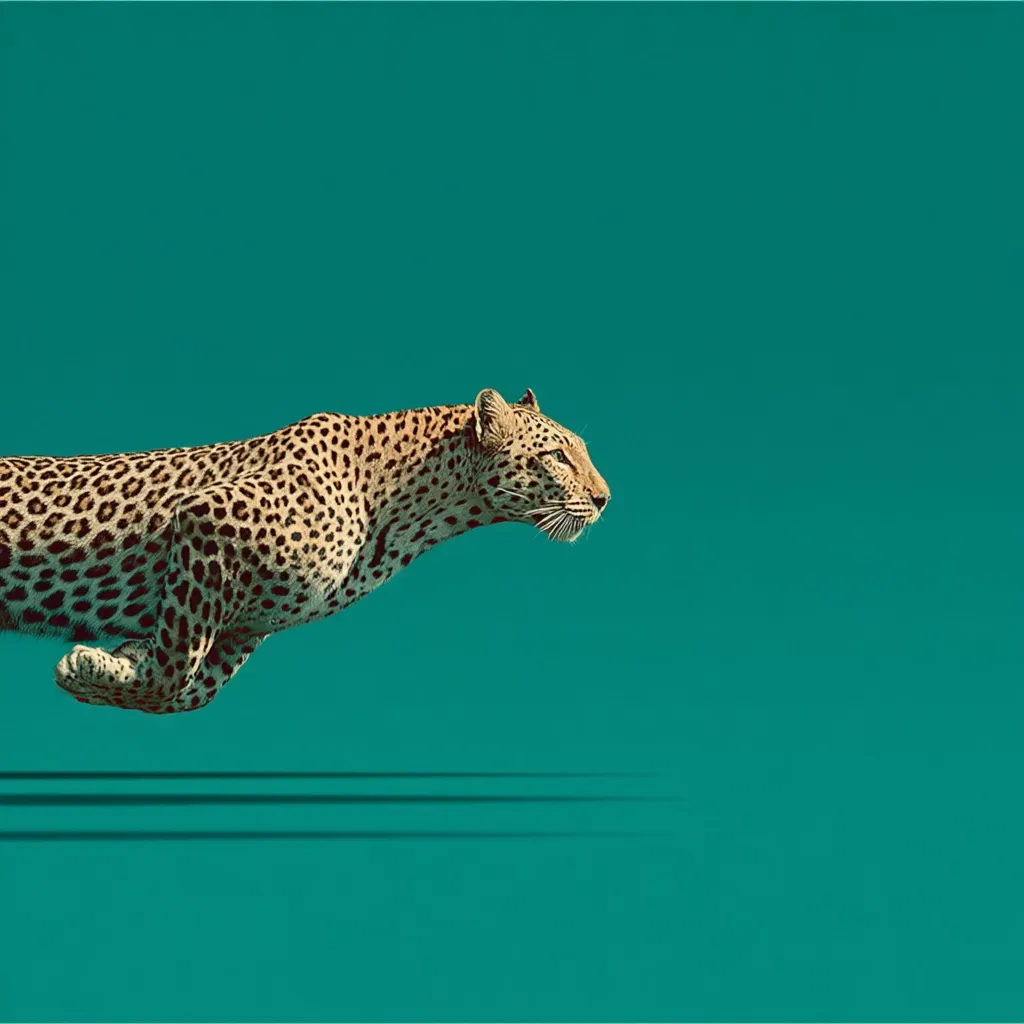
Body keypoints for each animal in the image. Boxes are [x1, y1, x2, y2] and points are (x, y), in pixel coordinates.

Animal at [0, 388, 611, 714]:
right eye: (558, 456)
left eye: (580, 450)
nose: (605, 498)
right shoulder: (208, 519)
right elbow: (175, 671)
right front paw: (89, 667)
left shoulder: (244, 626)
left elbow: (186, 688)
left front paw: (103, 667)